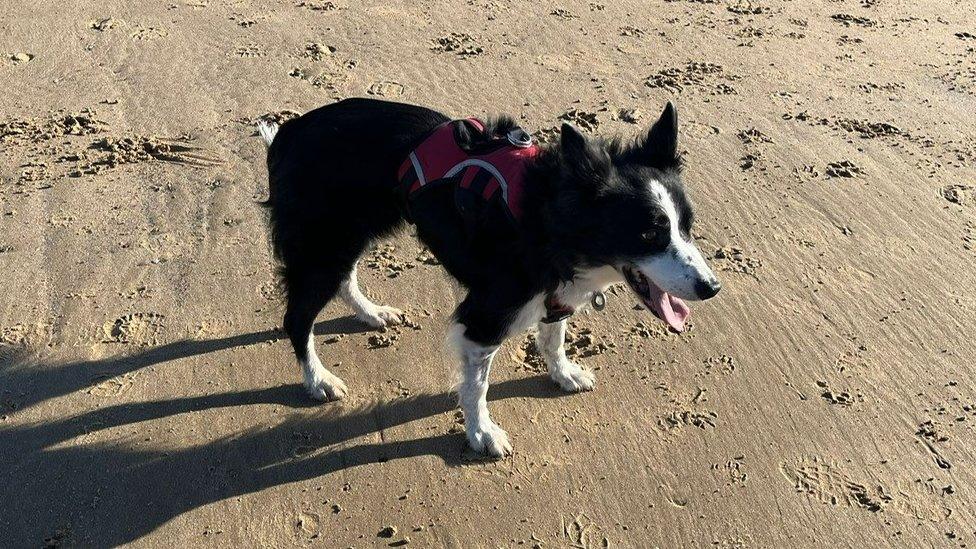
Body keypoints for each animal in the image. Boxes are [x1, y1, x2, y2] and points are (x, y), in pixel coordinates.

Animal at [258, 98, 716, 458]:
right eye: (649, 235)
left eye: (687, 227)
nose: (712, 288)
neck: (548, 218)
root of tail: (291, 131)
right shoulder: (485, 316)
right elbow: (477, 385)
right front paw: (481, 433)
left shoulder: (555, 292)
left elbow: (554, 336)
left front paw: (563, 373)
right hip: (323, 245)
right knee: (297, 318)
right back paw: (318, 379)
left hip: (350, 234)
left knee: (344, 278)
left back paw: (371, 313)